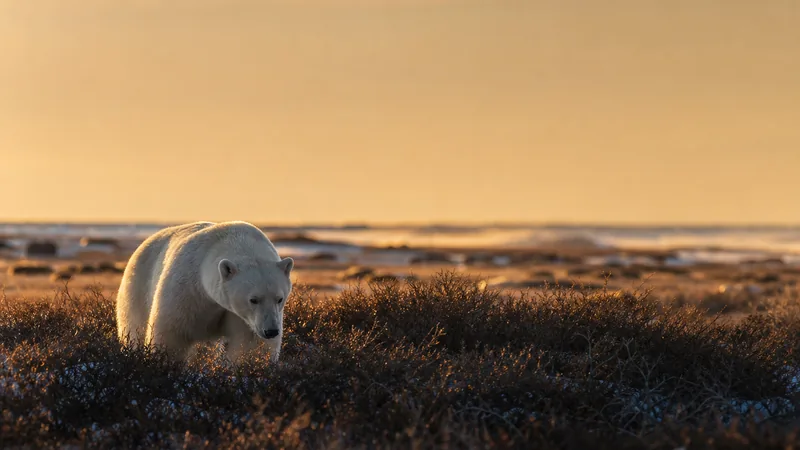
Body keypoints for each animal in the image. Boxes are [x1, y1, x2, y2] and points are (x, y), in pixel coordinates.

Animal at [115, 221, 294, 364]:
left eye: (279, 298)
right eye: (253, 299)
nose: (271, 331)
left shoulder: (242, 317)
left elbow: (251, 344)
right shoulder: (188, 290)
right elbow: (173, 332)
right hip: (138, 286)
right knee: (134, 326)